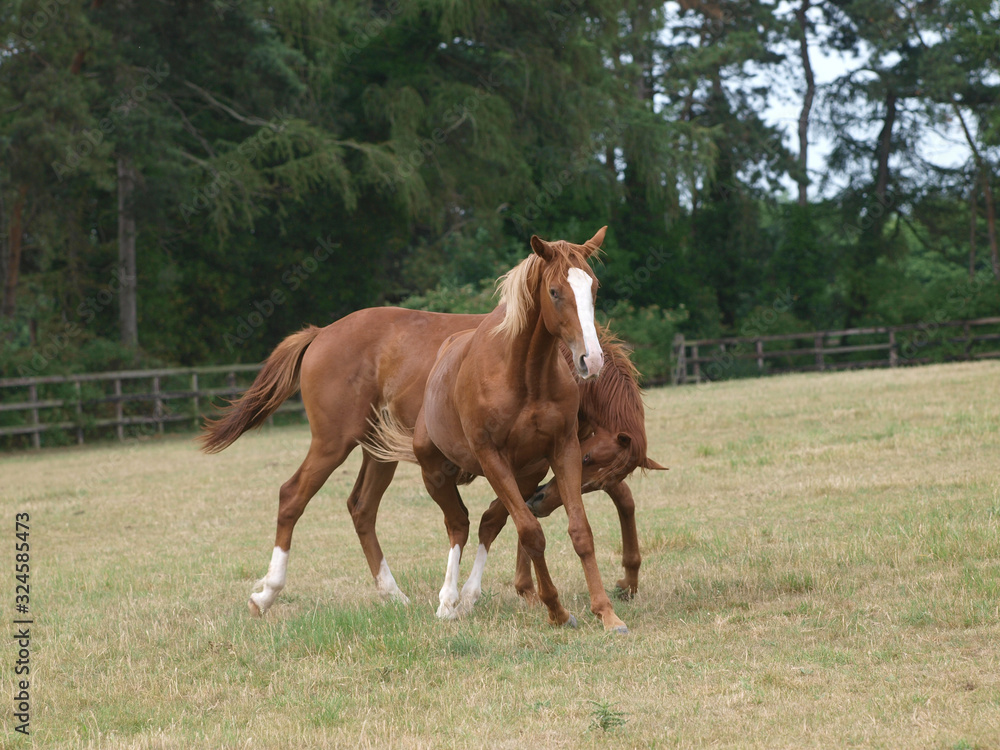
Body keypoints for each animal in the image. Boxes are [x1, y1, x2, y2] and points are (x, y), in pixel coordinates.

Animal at [367, 227, 630, 632]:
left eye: (594, 288)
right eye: (555, 291)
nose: (592, 359)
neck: (524, 374)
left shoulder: (564, 450)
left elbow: (580, 531)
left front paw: (606, 612)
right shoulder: (492, 458)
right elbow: (531, 533)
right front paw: (556, 610)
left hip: (524, 474)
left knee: (487, 522)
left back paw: (468, 596)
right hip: (435, 474)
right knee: (458, 524)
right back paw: (449, 601)